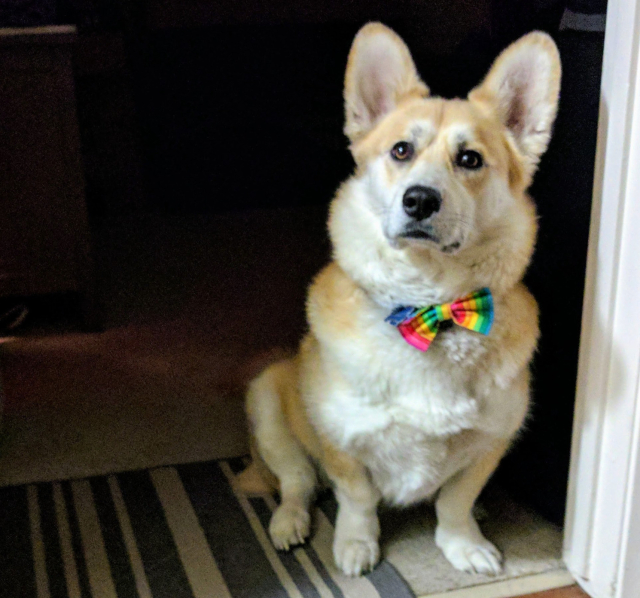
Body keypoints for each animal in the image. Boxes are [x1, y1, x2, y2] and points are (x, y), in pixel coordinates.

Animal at [239, 23, 560, 580]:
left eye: (470, 159)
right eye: (401, 150)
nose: (420, 200)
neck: (429, 306)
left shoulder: (491, 441)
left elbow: (455, 500)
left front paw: (464, 543)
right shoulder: (342, 442)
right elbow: (357, 499)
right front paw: (355, 545)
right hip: (268, 404)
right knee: (298, 483)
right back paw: (288, 523)